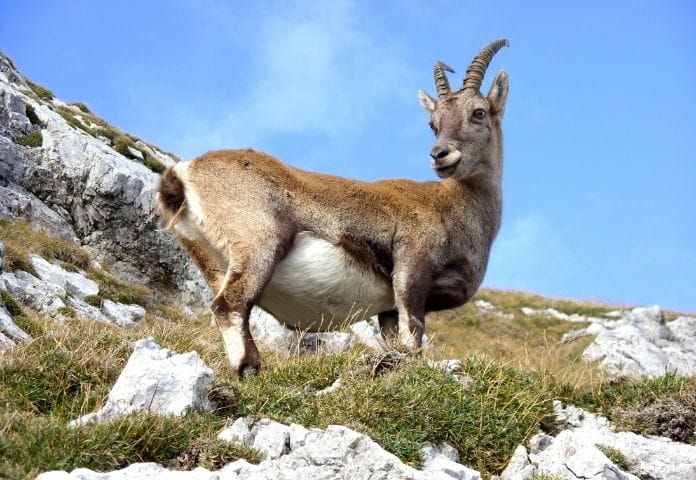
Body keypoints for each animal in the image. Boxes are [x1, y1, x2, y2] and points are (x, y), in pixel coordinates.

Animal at [159, 38, 512, 376]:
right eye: (433, 123)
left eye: (478, 112)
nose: (440, 154)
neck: (456, 207)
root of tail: (184, 172)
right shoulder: (412, 269)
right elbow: (412, 337)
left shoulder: (388, 308)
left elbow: (394, 340)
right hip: (259, 242)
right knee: (229, 305)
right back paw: (251, 370)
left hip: (211, 261)